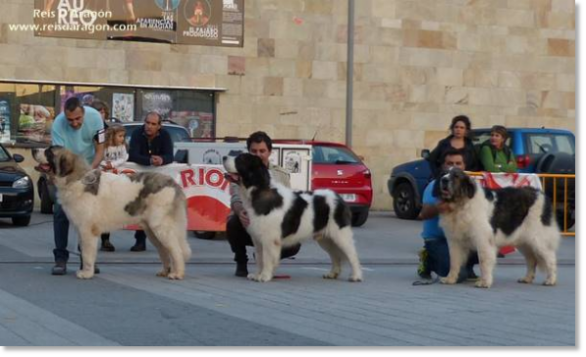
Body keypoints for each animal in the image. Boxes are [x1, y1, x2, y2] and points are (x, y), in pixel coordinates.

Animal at [222, 153, 360, 284]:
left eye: (240, 159)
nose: (224, 157)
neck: (258, 190)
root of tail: (339, 198)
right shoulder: (257, 239)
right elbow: (260, 258)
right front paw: (257, 275)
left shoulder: (269, 239)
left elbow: (266, 258)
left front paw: (264, 276)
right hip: (326, 239)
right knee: (335, 255)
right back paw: (332, 274)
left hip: (340, 235)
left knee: (352, 255)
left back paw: (356, 276)